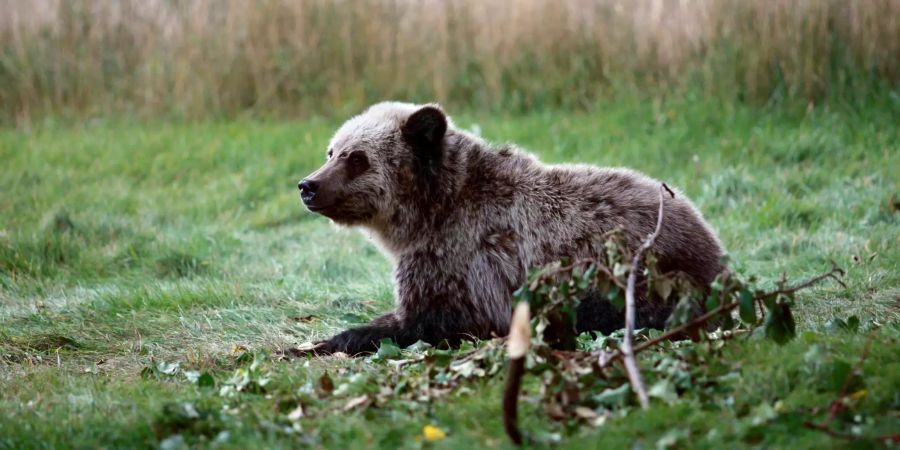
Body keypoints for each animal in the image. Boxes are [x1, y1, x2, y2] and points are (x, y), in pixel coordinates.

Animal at [296, 102, 724, 356]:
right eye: (332, 151)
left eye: (357, 158)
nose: (308, 185)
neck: (430, 212)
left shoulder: (462, 265)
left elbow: (425, 321)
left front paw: (329, 341)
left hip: (629, 277)